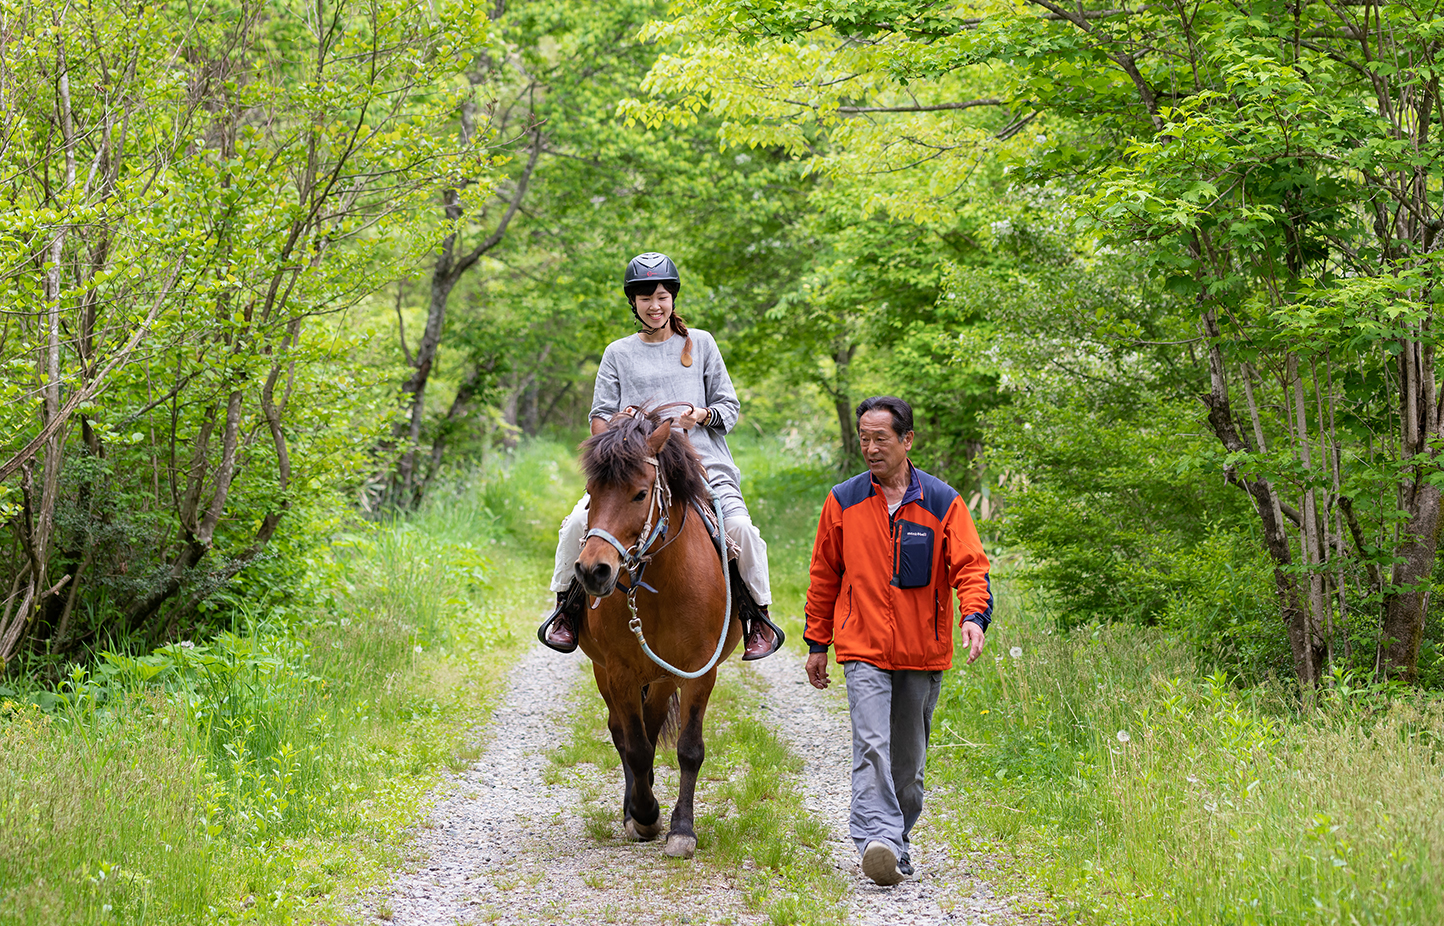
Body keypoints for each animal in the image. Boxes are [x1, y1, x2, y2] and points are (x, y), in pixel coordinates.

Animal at [571, 404, 745, 860]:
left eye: (640, 493)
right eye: (591, 493)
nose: (594, 571)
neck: (660, 584)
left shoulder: (699, 671)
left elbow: (688, 748)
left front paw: (681, 829)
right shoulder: (619, 671)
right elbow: (633, 745)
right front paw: (645, 815)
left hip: (665, 677)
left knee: (651, 727)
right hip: (608, 673)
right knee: (624, 734)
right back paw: (633, 805)